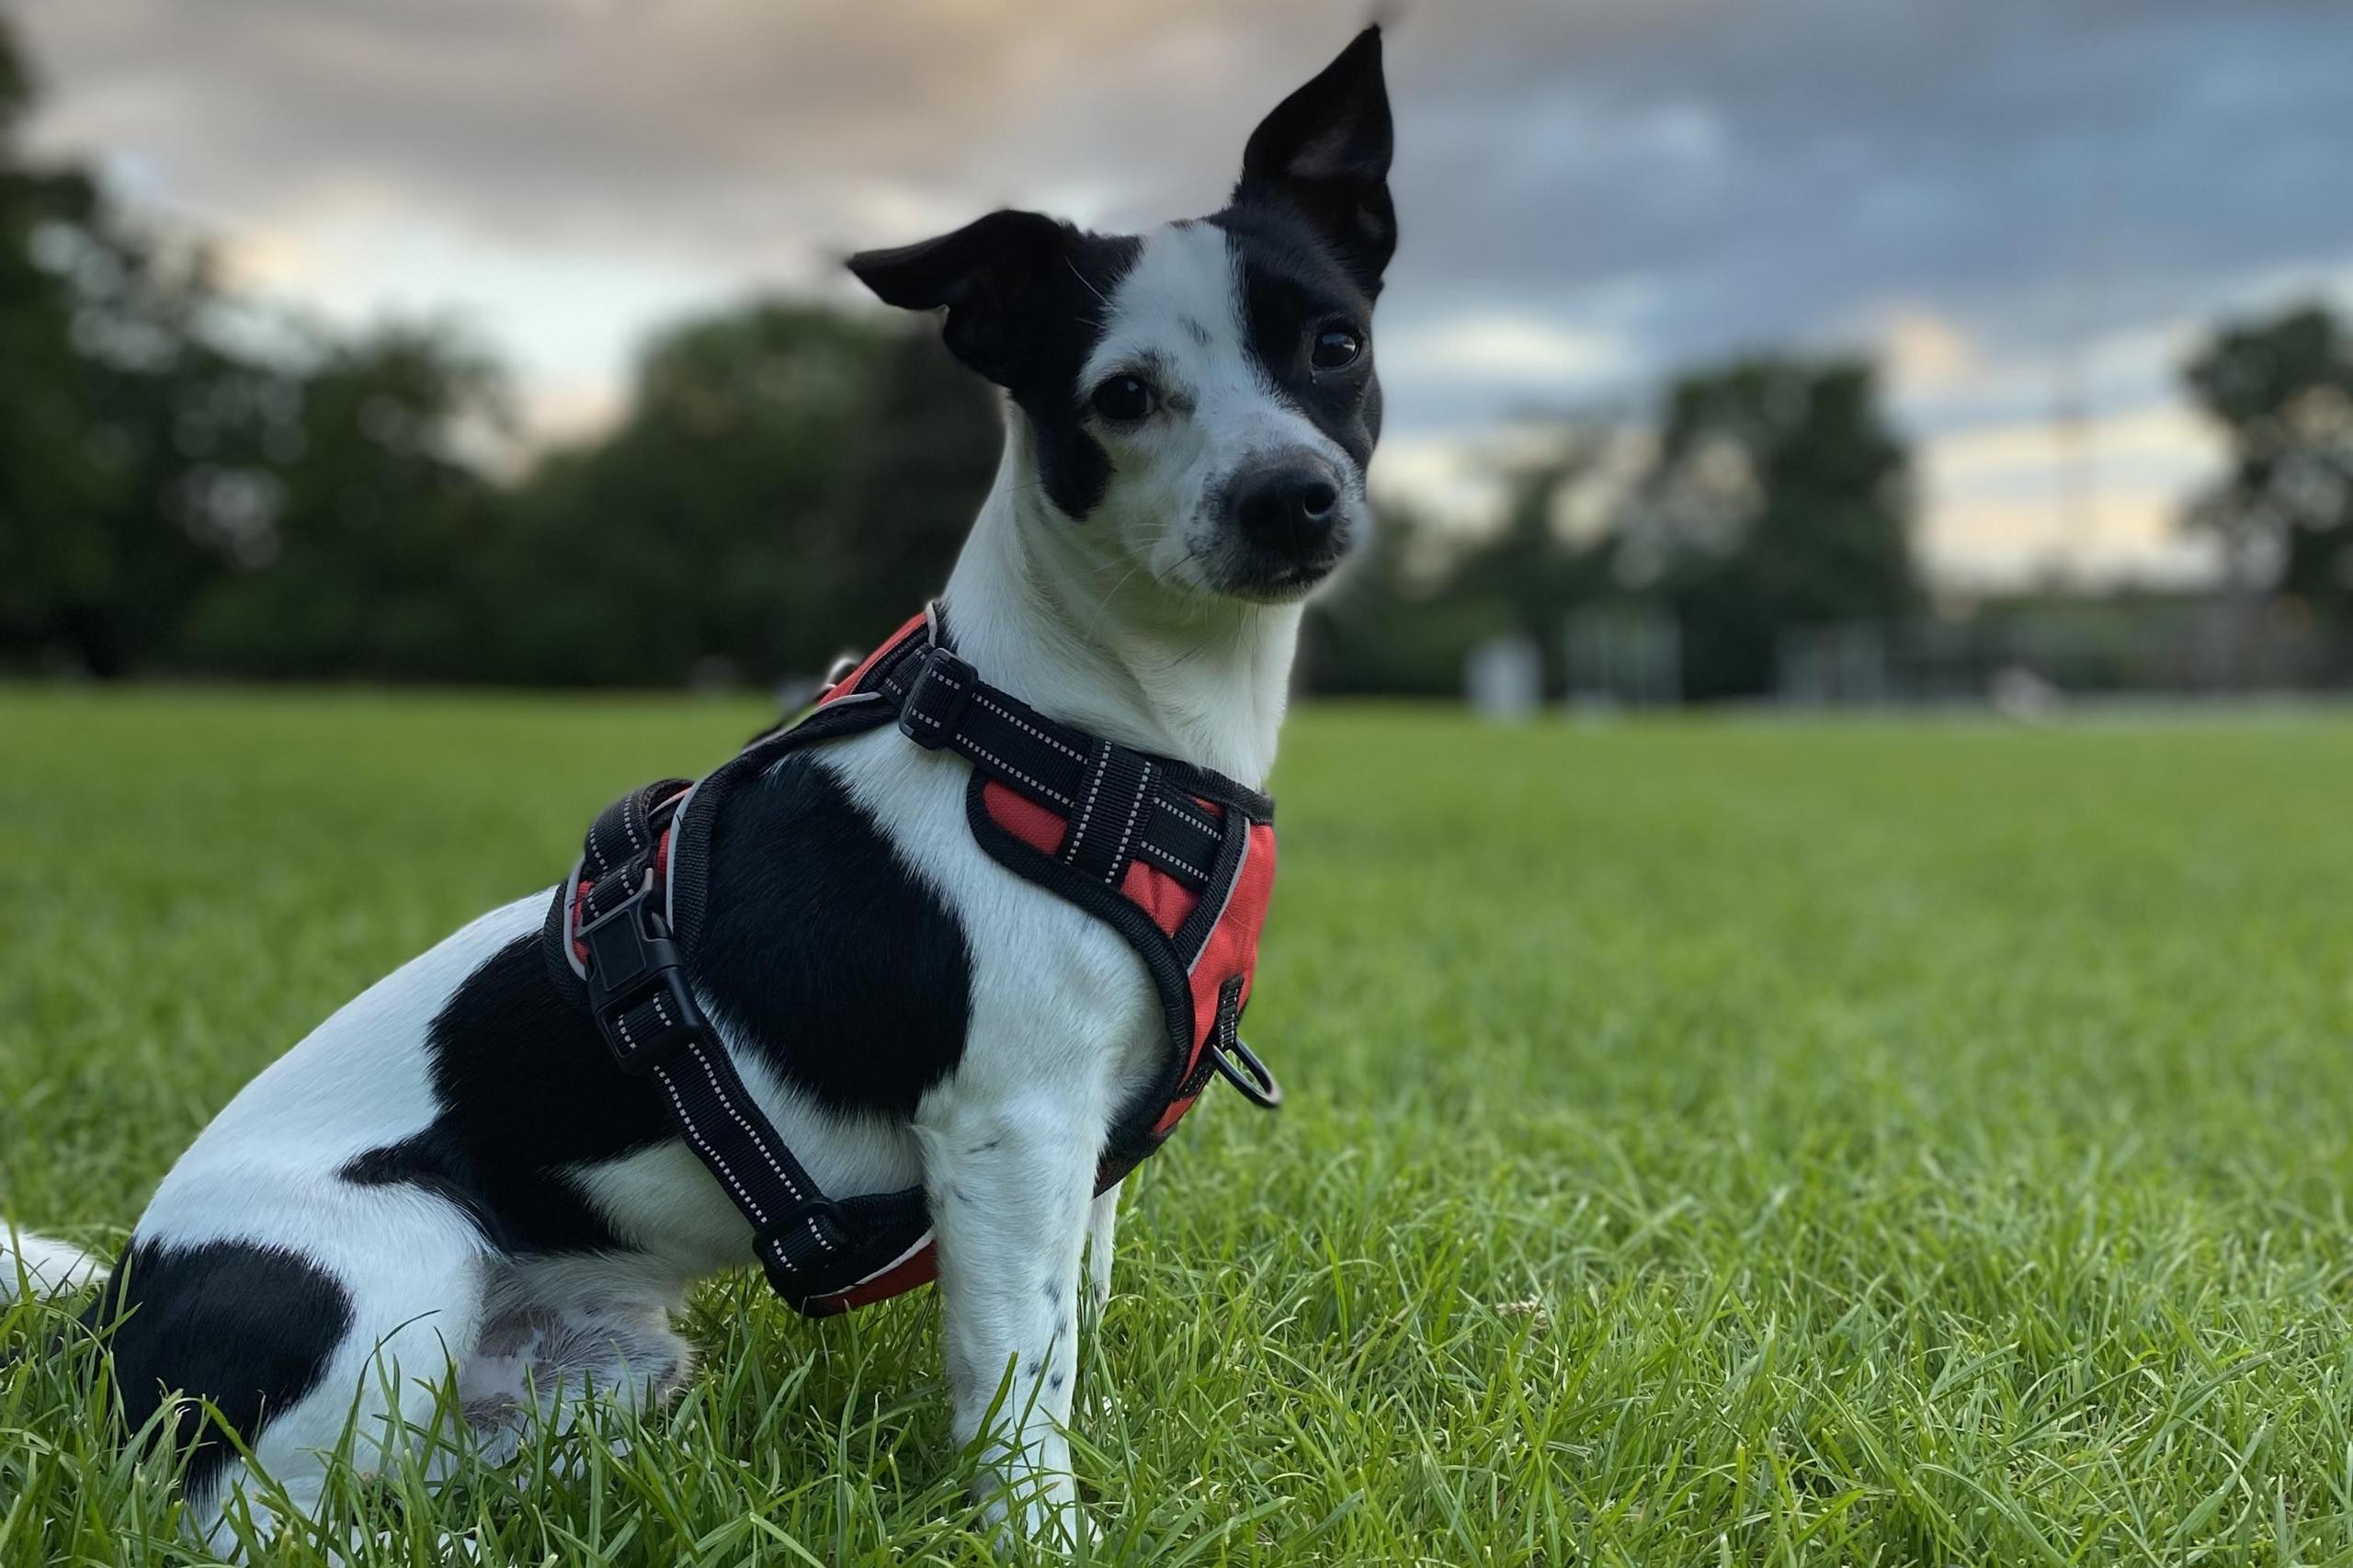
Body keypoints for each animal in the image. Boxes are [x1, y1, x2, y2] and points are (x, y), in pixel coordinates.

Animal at [0, 27, 1392, 1553]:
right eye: (1123, 396)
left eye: (1336, 344)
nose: (1289, 496)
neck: (1096, 734)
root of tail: (110, 1310)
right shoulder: (1013, 1133)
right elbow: (1017, 1377)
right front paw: (1044, 1526)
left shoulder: (1084, 1160)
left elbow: (1069, 1321)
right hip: (389, 1264)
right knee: (242, 1513)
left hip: (605, 1367)